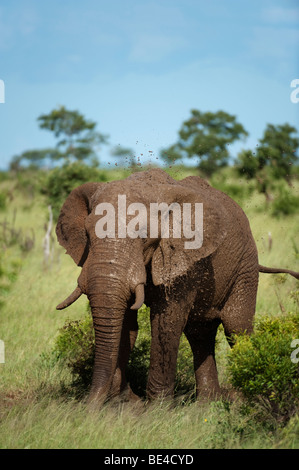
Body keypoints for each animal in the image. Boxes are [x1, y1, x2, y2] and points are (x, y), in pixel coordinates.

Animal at [55, 168, 298, 404]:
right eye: (87, 234)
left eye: (144, 234)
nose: (89, 408)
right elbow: (126, 324)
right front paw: (124, 402)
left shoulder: (184, 259)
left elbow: (167, 321)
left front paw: (157, 408)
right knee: (200, 333)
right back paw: (208, 405)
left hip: (245, 267)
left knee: (237, 327)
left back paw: (252, 400)